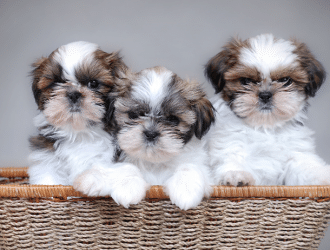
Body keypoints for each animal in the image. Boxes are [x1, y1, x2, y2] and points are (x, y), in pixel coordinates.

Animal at [73, 66, 215, 209]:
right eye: (134, 115)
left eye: (173, 119)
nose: (151, 133)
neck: (154, 162)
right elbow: (126, 167)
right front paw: (127, 187)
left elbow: (189, 166)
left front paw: (185, 189)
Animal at [205, 33, 328, 186]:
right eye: (246, 81)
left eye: (285, 80)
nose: (265, 95)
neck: (265, 126)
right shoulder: (229, 142)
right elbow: (233, 156)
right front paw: (236, 173)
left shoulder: (296, 152)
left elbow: (305, 166)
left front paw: (322, 174)